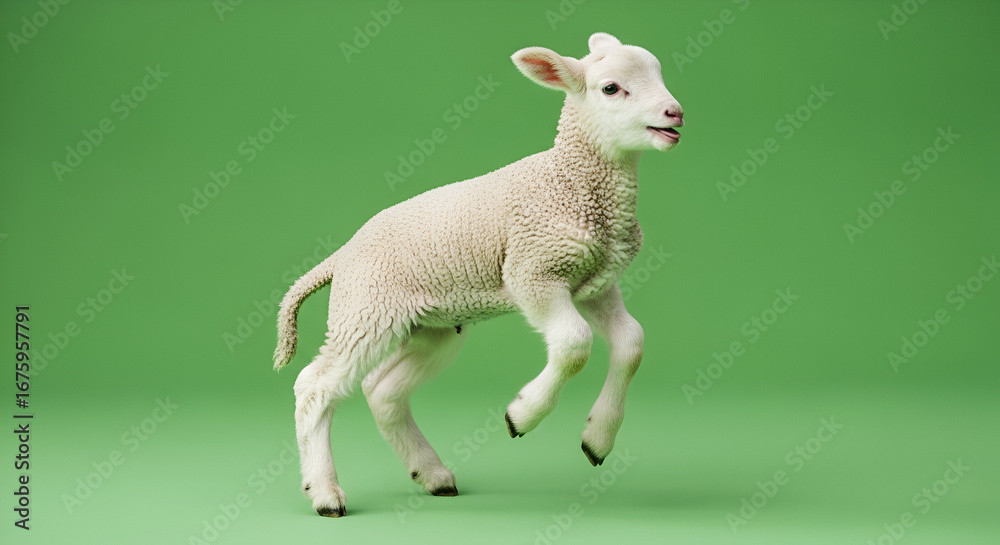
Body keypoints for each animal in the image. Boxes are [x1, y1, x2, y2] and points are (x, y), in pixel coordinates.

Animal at [274, 32, 684, 517]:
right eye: (611, 89)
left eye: (658, 73)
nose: (675, 112)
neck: (571, 181)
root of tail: (340, 256)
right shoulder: (533, 271)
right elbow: (573, 345)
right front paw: (521, 416)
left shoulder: (595, 285)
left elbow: (632, 344)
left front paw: (597, 440)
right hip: (366, 311)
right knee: (314, 387)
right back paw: (325, 494)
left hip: (430, 327)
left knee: (382, 390)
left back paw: (432, 476)